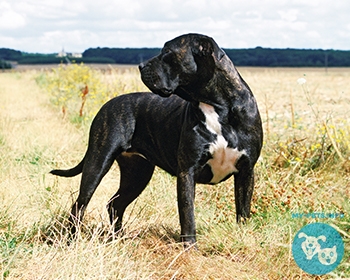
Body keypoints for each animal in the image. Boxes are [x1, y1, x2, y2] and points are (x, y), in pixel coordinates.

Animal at [51, 34, 262, 246]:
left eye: (167, 51)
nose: (140, 65)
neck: (217, 106)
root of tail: (108, 104)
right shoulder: (188, 171)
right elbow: (188, 214)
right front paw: (189, 247)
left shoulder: (246, 170)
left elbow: (243, 210)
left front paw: (242, 236)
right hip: (99, 160)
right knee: (80, 204)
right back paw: (71, 240)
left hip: (137, 173)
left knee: (115, 204)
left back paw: (118, 238)